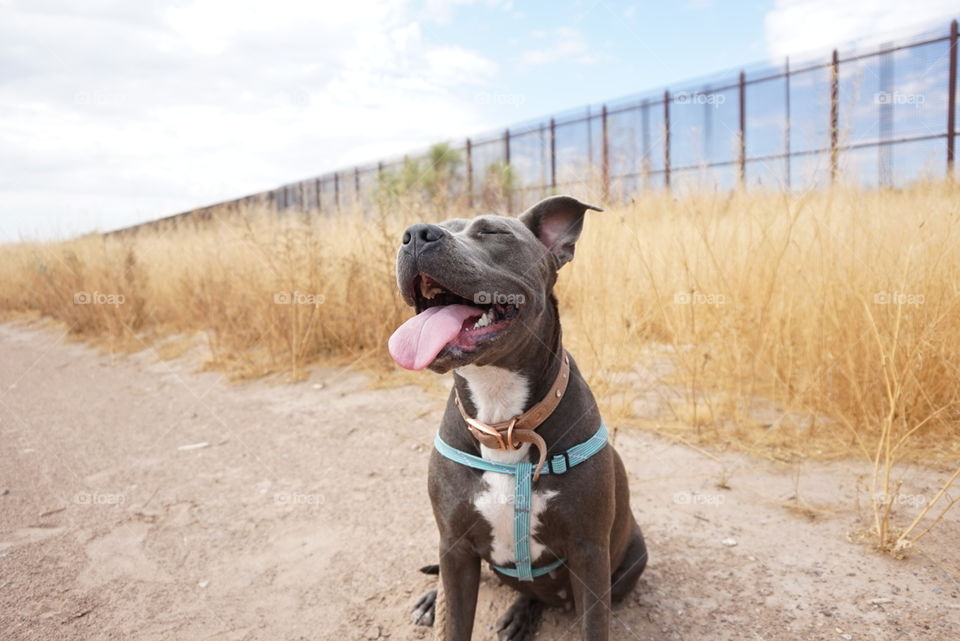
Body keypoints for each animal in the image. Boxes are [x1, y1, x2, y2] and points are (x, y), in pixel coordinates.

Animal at [386, 196, 648, 640]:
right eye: (435, 226)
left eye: (494, 231)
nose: (415, 234)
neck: (504, 421)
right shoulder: (455, 547)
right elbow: (454, 619)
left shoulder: (590, 555)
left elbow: (593, 625)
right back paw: (434, 601)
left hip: (633, 557)